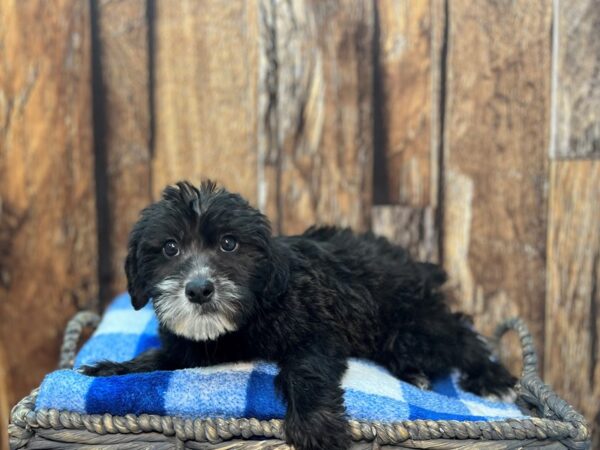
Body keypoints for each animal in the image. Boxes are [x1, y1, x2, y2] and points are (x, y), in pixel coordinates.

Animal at [83, 179, 516, 450]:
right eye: (170, 248)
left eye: (229, 244)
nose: (199, 289)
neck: (245, 320)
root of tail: (416, 265)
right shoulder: (191, 348)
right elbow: (158, 357)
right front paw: (113, 368)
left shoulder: (317, 332)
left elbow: (303, 371)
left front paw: (314, 425)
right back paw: (416, 374)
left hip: (413, 327)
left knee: (461, 335)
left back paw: (491, 378)